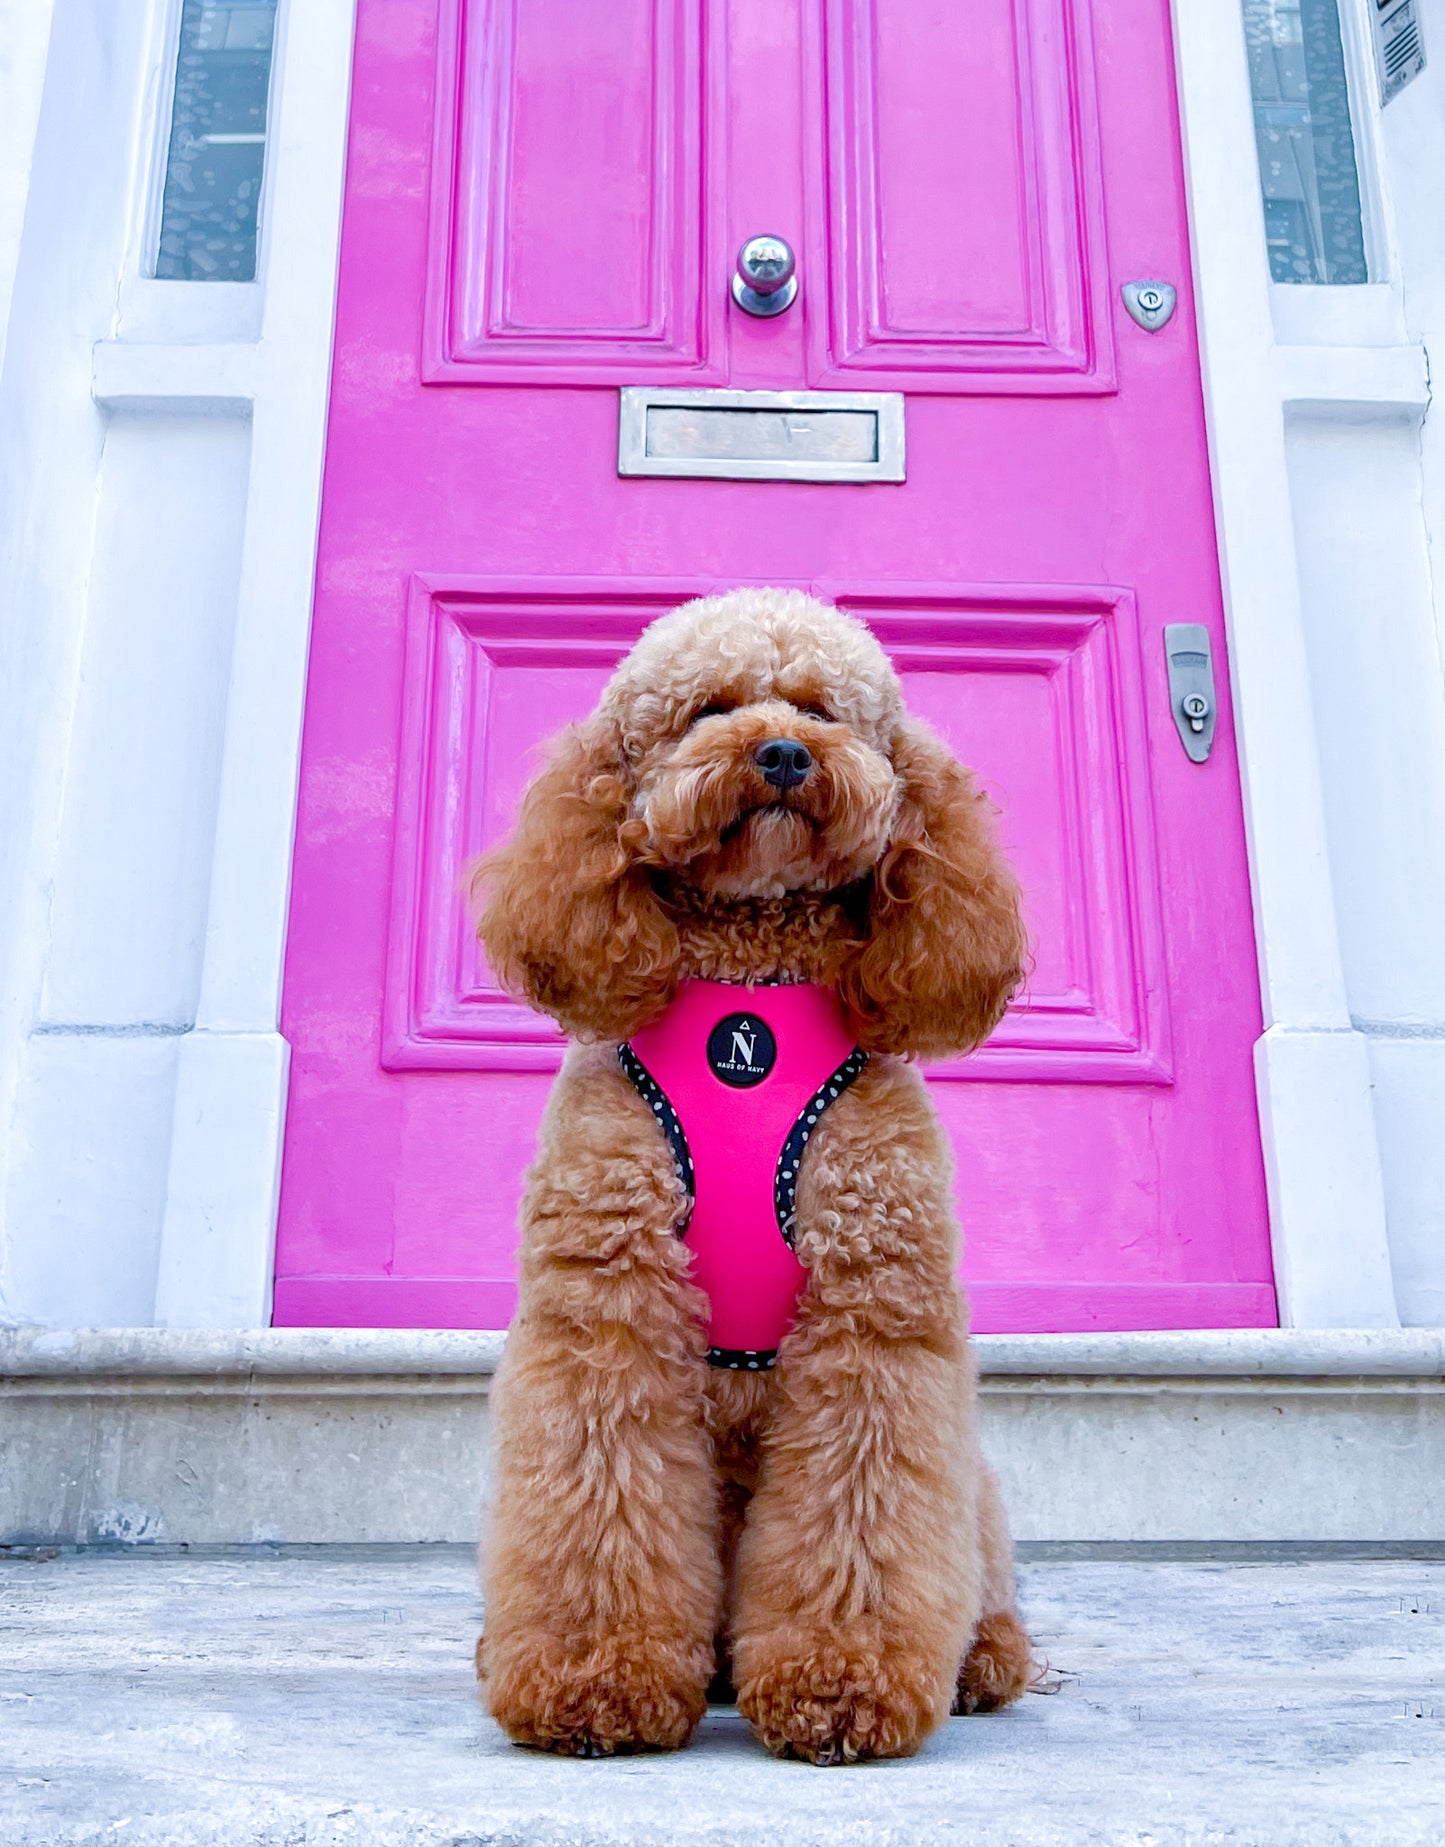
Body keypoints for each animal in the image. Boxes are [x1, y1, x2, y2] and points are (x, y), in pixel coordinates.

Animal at [480, 587, 1034, 1758]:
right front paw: (595, 1677)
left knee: (979, 1571)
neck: (750, 989)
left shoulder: (870, 1312)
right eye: (709, 708)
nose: (781, 752)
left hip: (972, 1481)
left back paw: (984, 1658)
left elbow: (859, 1508)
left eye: (822, 709)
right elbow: (600, 1492)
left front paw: (841, 1683)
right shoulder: (611, 1303)